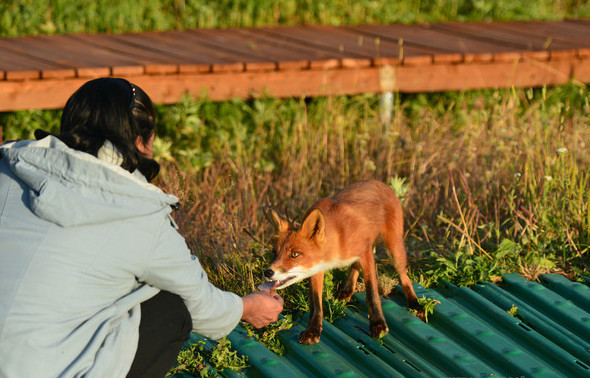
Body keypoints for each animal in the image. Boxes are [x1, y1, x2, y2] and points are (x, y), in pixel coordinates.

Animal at [266, 180, 424, 346]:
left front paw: (378, 323)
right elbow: (315, 304)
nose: (267, 272)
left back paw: (414, 303)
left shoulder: (365, 251)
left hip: (394, 248)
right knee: (355, 266)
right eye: (274, 252)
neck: (337, 242)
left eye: (295, 254)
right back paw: (347, 290)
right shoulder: (317, 269)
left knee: (404, 275)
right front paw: (313, 330)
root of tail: (379, 182)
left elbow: (372, 292)